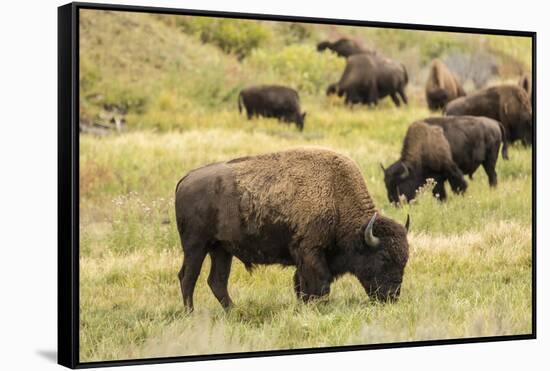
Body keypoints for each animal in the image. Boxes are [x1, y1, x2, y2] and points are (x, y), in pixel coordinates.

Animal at [175, 148, 412, 310]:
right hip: (196, 246)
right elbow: (319, 284)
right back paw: (191, 314)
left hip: (221, 249)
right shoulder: (310, 252)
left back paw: (234, 311)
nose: (392, 297)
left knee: (217, 281)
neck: (336, 196)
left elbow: (301, 285)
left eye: (404, 260)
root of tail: (185, 179)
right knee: (188, 277)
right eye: (383, 257)